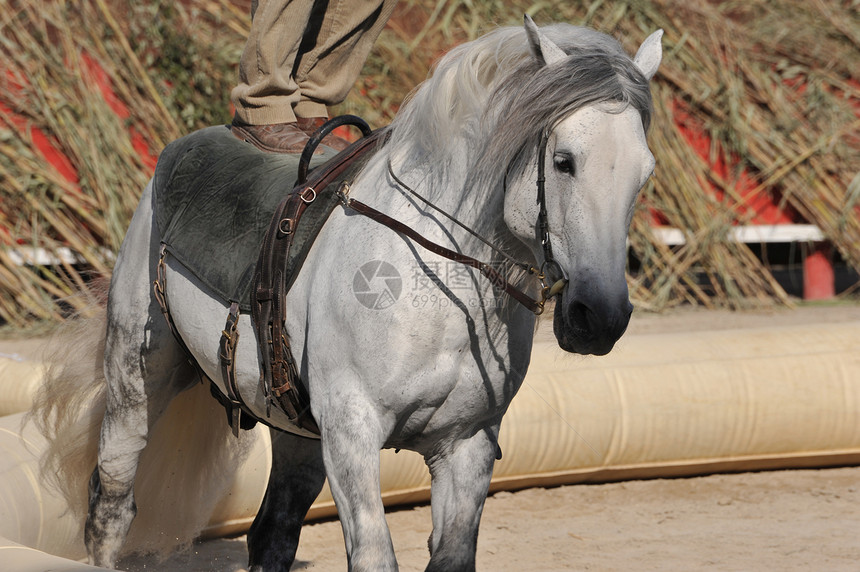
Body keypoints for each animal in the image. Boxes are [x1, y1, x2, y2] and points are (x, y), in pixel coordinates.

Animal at [31, 15, 660, 568]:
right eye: (564, 161)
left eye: (644, 173)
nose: (600, 317)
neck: (438, 288)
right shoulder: (352, 433)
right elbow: (375, 555)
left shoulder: (466, 445)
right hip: (138, 377)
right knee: (111, 503)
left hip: (297, 432)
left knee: (272, 533)